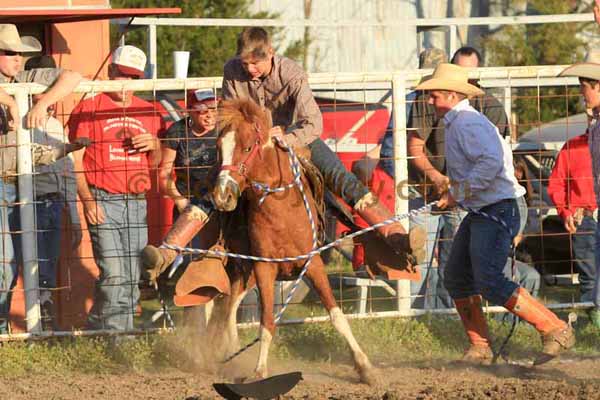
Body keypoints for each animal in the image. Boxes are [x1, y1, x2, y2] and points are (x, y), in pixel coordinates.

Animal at [211, 99, 376, 384]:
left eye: (247, 147)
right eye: (220, 148)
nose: (222, 195)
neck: (282, 209)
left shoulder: (313, 263)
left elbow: (337, 316)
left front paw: (364, 367)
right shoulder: (264, 267)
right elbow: (266, 322)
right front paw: (259, 370)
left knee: (231, 305)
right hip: (243, 267)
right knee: (229, 306)